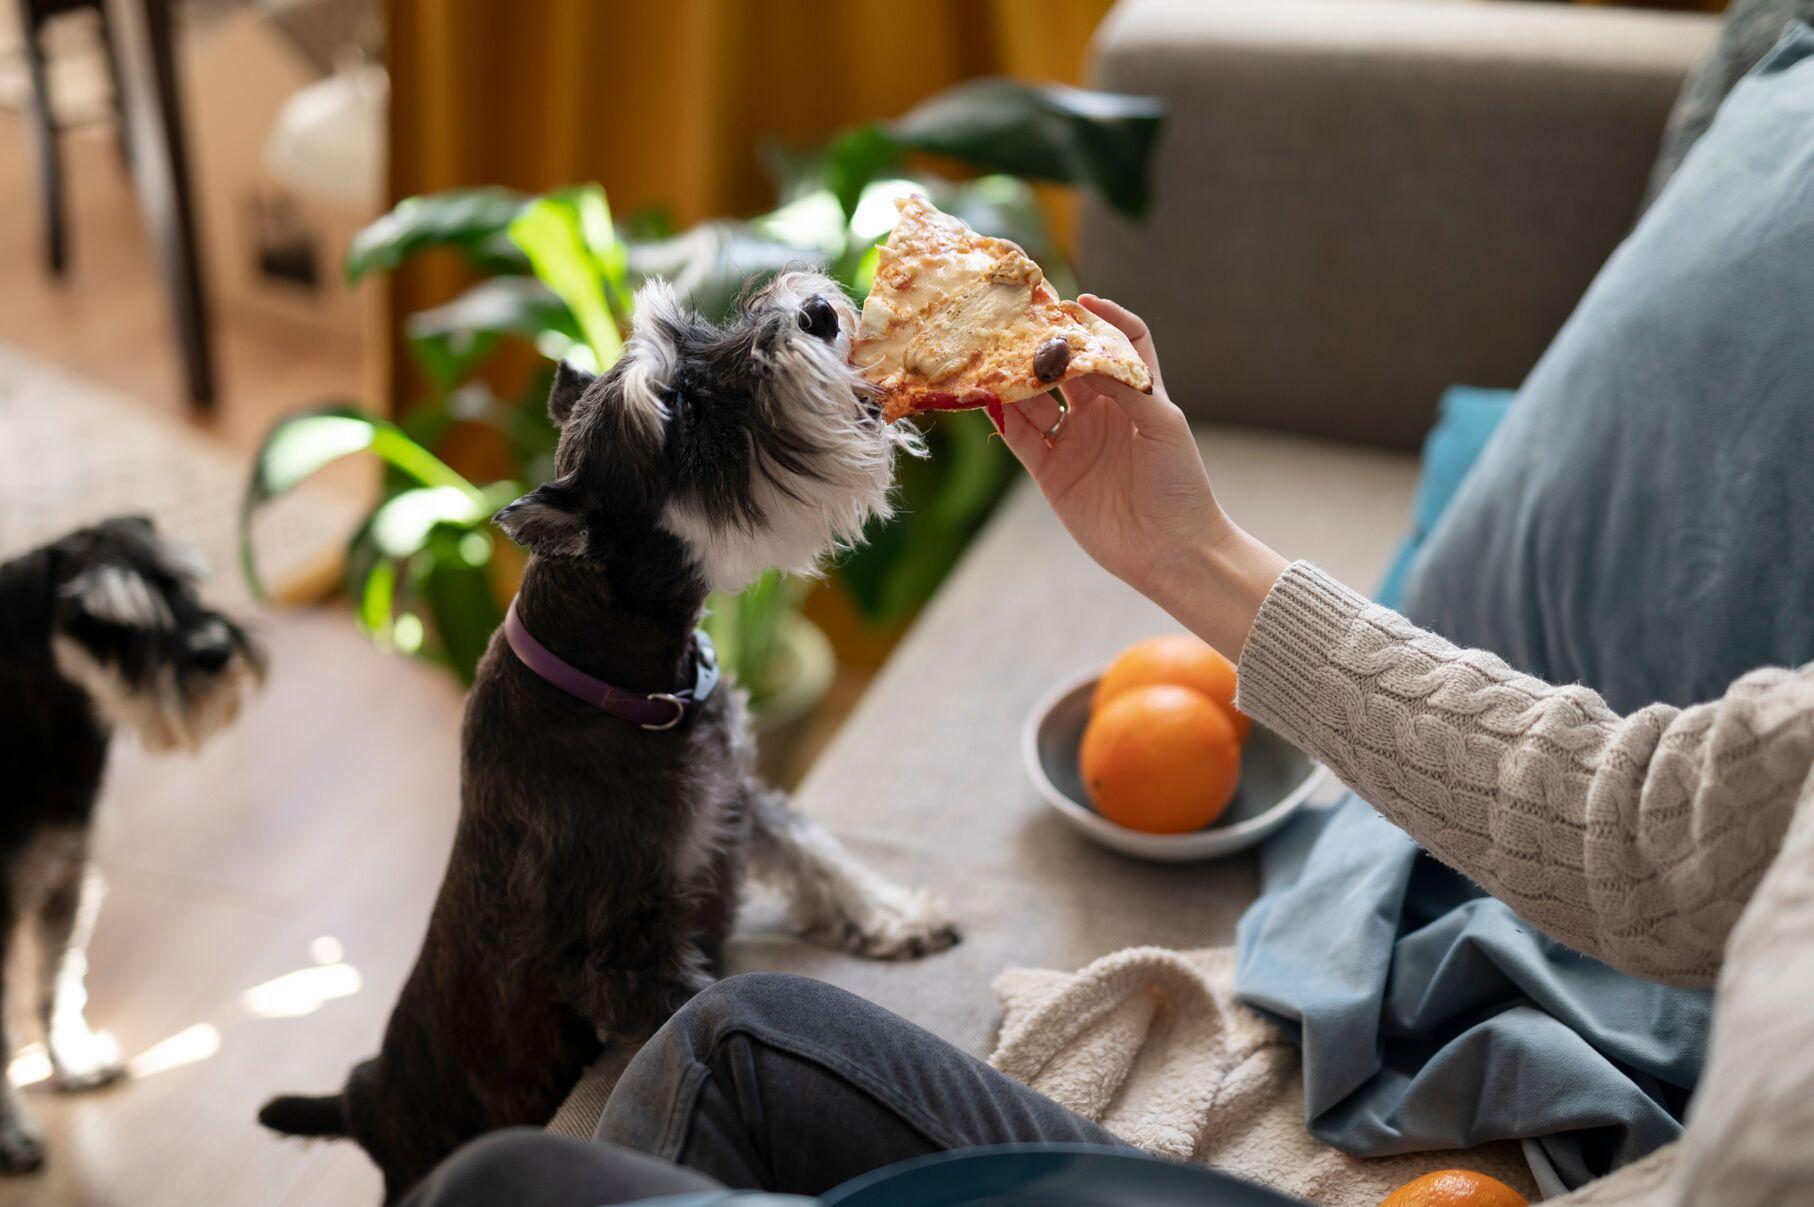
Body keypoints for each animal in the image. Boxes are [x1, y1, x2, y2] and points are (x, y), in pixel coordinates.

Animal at [0, 515, 264, 1168]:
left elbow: (55, 985)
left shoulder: (65, 878)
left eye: (184, 582)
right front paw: (11, 1130)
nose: (214, 652)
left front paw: (72, 1064)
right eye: (106, 623)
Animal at [264, 270, 965, 1197]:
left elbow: (816, 852)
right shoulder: (623, 954)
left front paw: (893, 915)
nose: (815, 311)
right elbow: (696, 997)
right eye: (683, 411)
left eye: (693, 327)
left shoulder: (738, 799)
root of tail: (362, 1095)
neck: (624, 683)